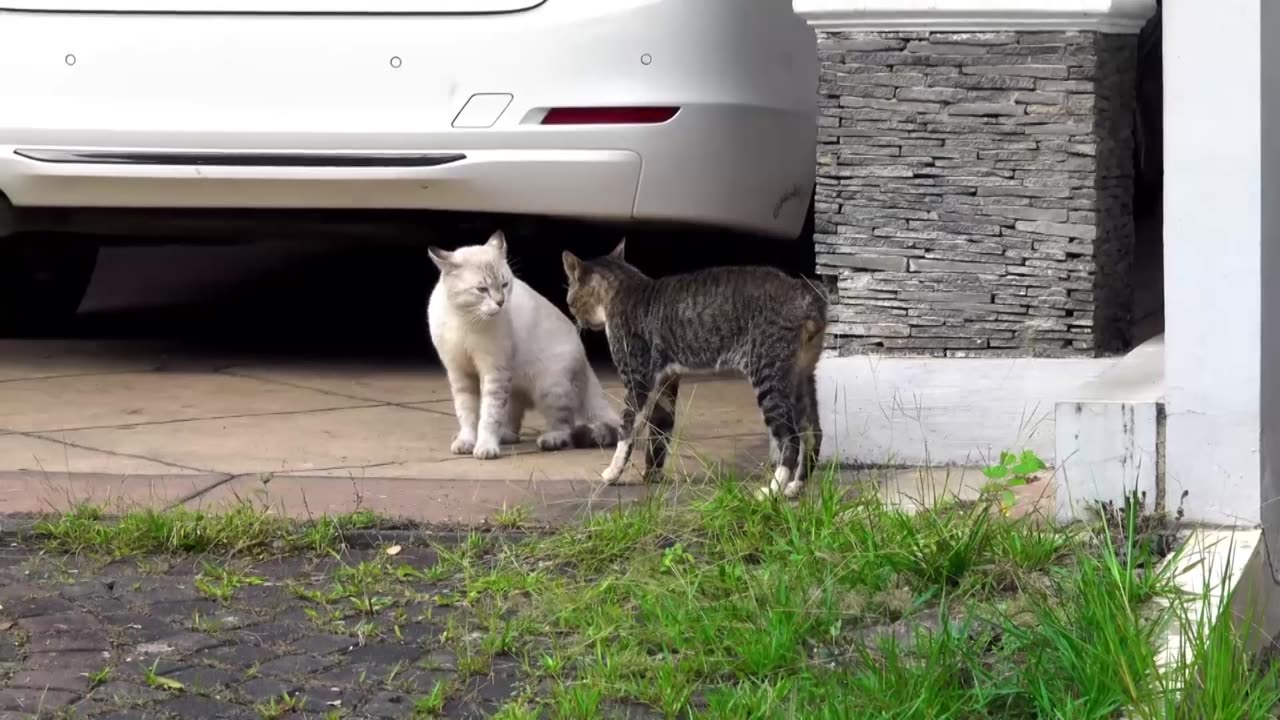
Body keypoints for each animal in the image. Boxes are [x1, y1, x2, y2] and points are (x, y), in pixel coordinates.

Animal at [427, 229, 622, 458]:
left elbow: (489, 415)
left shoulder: (494, 372)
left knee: (565, 423)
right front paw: (467, 441)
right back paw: (505, 436)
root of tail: (585, 360)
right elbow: (467, 413)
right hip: (514, 387)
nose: (500, 302)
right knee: (514, 419)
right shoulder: (459, 373)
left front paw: (485, 446)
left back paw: (551, 439)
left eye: (504, 285)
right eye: (482, 289)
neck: (465, 319)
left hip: (549, 387)